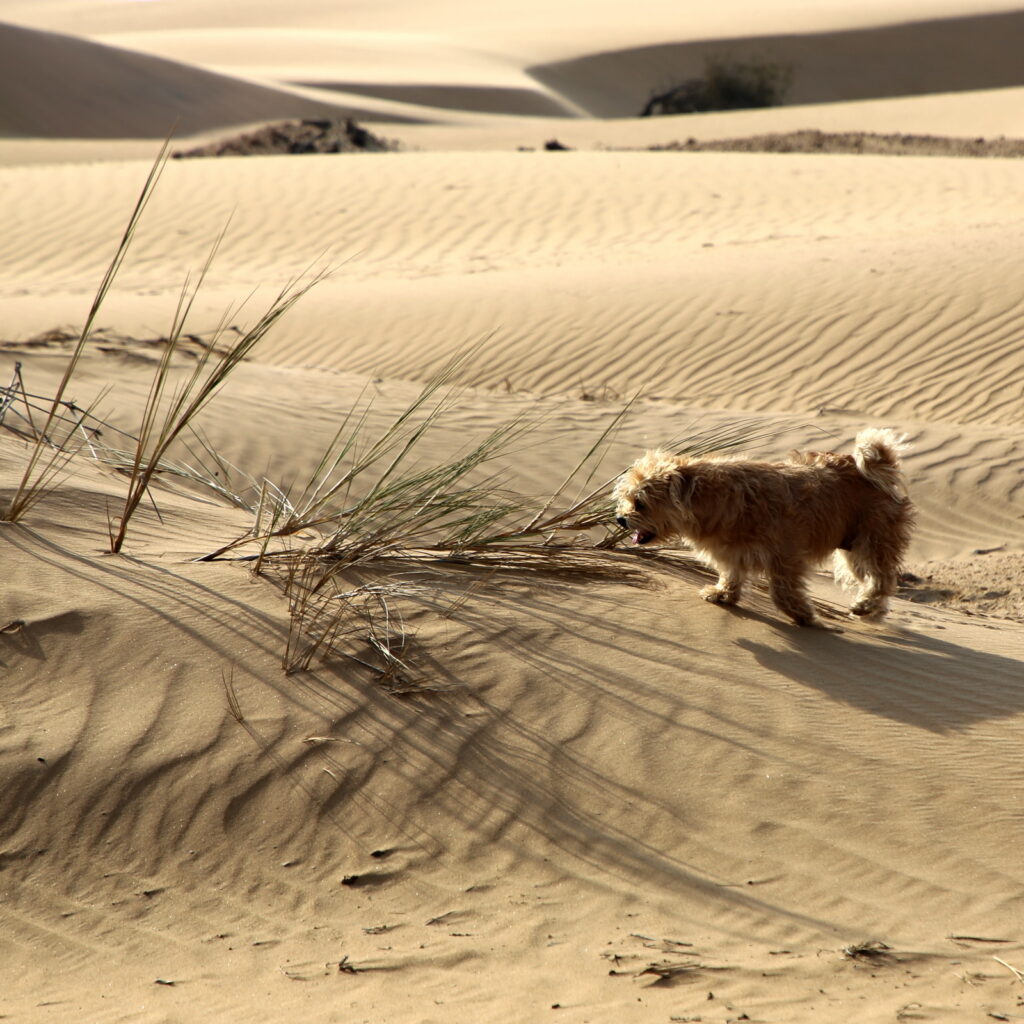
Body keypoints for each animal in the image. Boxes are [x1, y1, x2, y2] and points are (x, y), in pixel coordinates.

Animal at [610, 430, 917, 626]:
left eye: (640, 503)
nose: (621, 519)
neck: (713, 500)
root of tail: (879, 469)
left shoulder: (786, 556)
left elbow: (781, 593)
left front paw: (803, 615)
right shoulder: (731, 553)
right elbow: (731, 575)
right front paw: (723, 594)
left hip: (870, 543)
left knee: (882, 579)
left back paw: (865, 607)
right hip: (853, 549)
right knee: (879, 581)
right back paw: (874, 612)